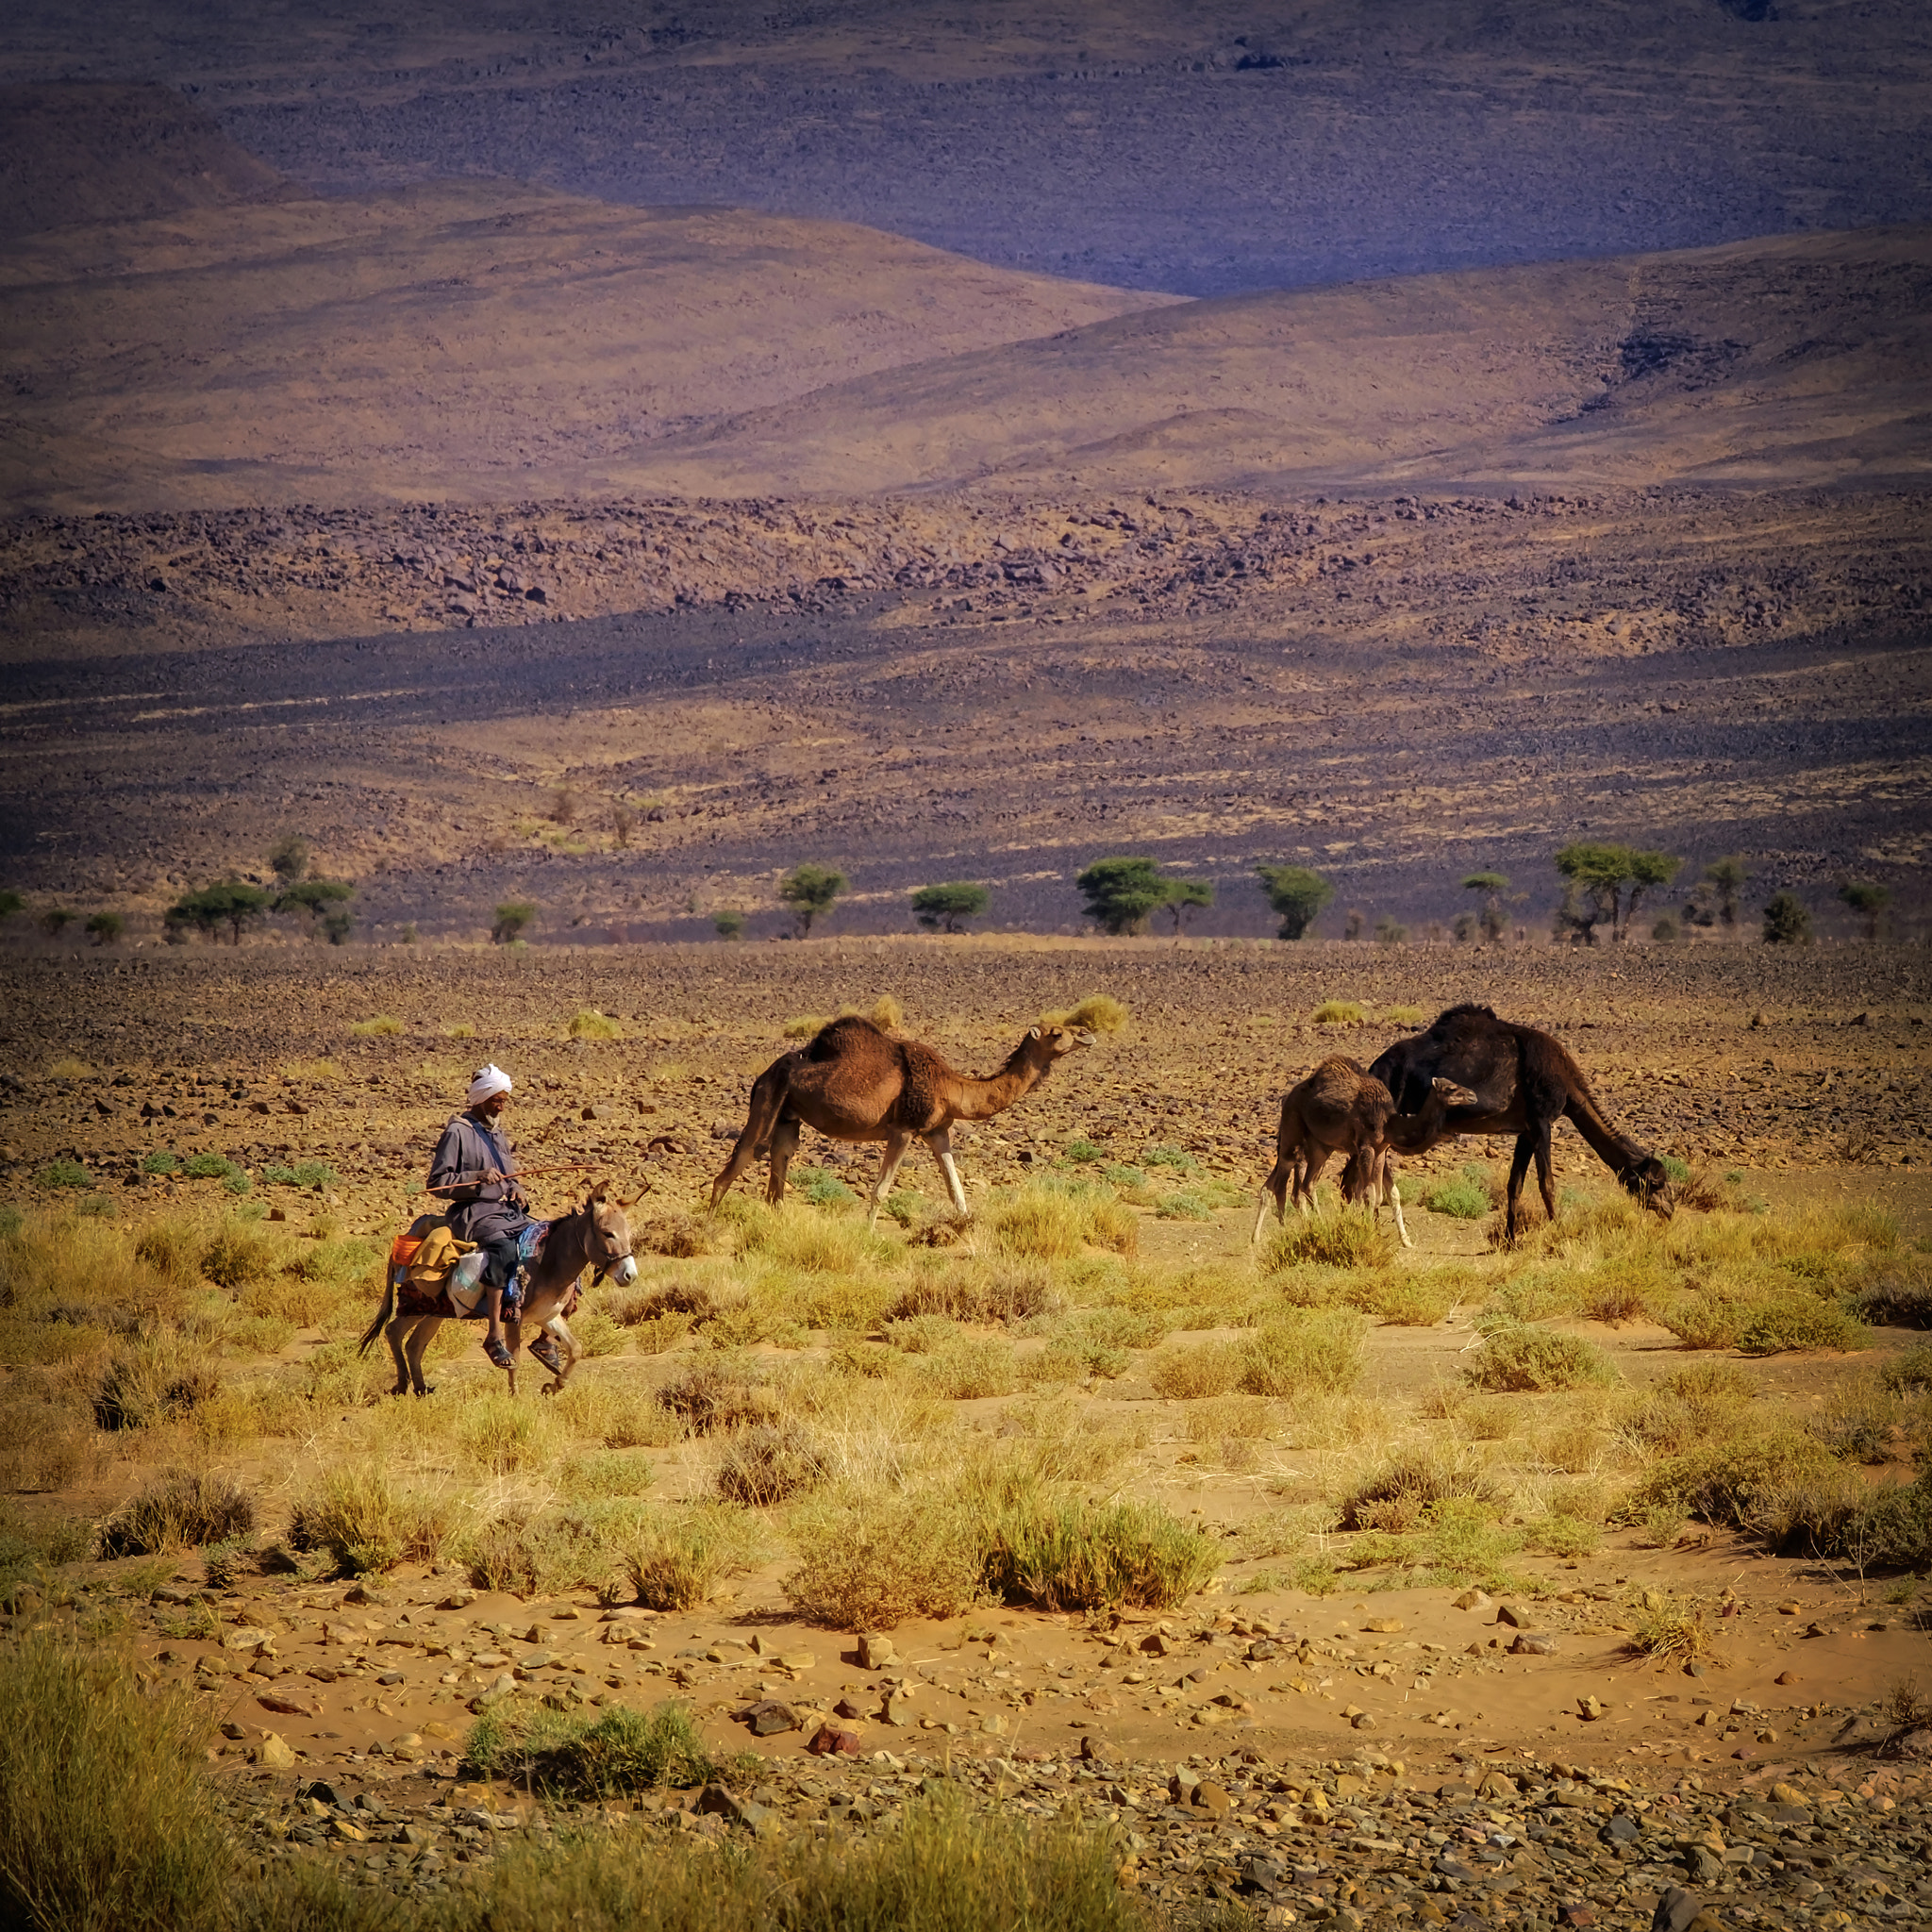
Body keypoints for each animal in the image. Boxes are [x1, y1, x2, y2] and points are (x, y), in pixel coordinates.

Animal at [718, 1012, 1097, 1221]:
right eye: (1057, 1033)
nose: (1087, 1034)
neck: (951, 1087)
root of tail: (764, 1075)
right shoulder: (903, 1129)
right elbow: (880, 1191)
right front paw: (868, 1238)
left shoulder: (937, 1131)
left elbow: (957, 1191)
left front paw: (972, 1238)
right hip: (767, 1101)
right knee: (738, 1163)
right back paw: (708, 1231)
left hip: (788, 1114)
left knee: (778, 1169)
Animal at [1252, 1058, 1475, 1252]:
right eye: (1451, 1089)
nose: (1473, 1095)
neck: (1389, 1123)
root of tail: (1289, 1096)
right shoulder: (1366, 1146)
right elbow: (1369, 1193)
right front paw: (1367, 1231)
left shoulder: (1381, 1150)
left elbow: (1385, 1195)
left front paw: (1402, 1240)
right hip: (1294, 1131)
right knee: (1287, 1182)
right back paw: (1305, 1229)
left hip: (1320, 1146)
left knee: (1300, 1185)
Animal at [1375, 1004, 1676, 1243]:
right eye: (1657, 1183)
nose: (1670, 1209)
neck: (1569, 1087)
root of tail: (1376, 1067)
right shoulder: (1542, 1121)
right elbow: (1547, 1184)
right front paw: (1560, 1233)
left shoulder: (1526, 1130)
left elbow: (1515, 1184)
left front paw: (1510, 1241)